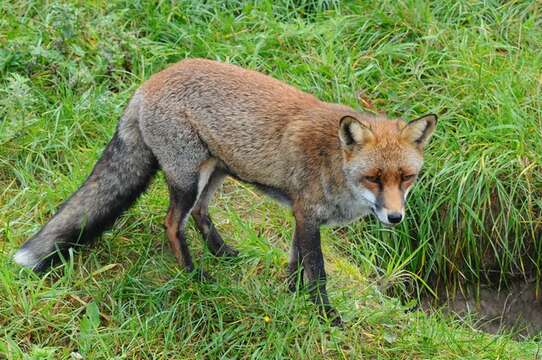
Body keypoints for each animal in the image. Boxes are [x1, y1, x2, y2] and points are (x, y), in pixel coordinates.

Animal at [12, 58, 438, 324]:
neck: (333, 162)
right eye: (374, 179)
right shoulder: (307, 215)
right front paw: (326, 318)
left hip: (216, 172)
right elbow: (316, 274)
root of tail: (149, 81)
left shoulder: (300, 216)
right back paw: (194, 275)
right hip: (187, 178)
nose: (395, 217)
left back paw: (222, 254)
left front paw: (290, 298)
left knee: (201, 213)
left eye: (406, 178)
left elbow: (294, 263)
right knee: (173, 223)